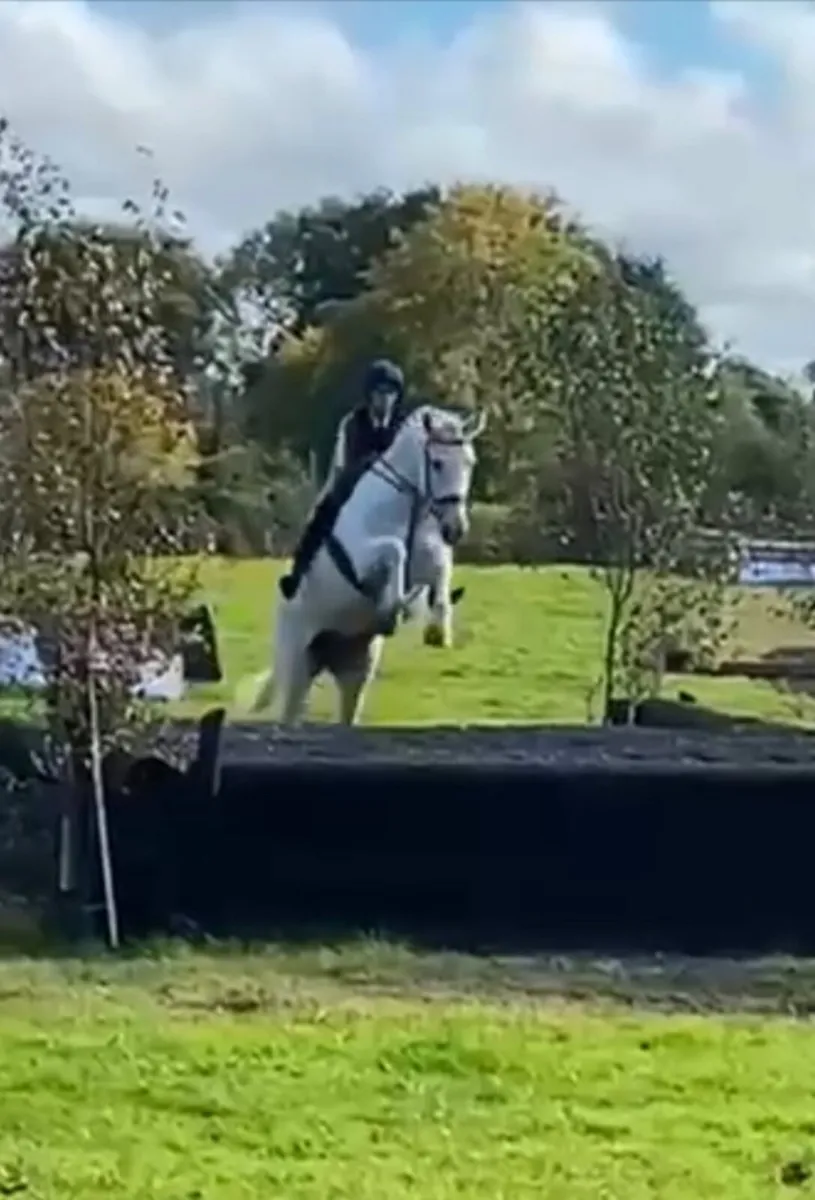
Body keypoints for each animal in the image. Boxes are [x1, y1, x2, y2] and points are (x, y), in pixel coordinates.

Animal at [251, 404, 486, 725]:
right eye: (437, 464)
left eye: (470, 463)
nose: (456, 529)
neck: (405, 506)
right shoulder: (362, 558)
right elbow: (395, 549)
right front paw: (391, 609)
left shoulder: (429, 554)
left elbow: (440, 566)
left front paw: (438, 629)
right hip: (298, 662)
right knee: (290, 711)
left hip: (356, 672)